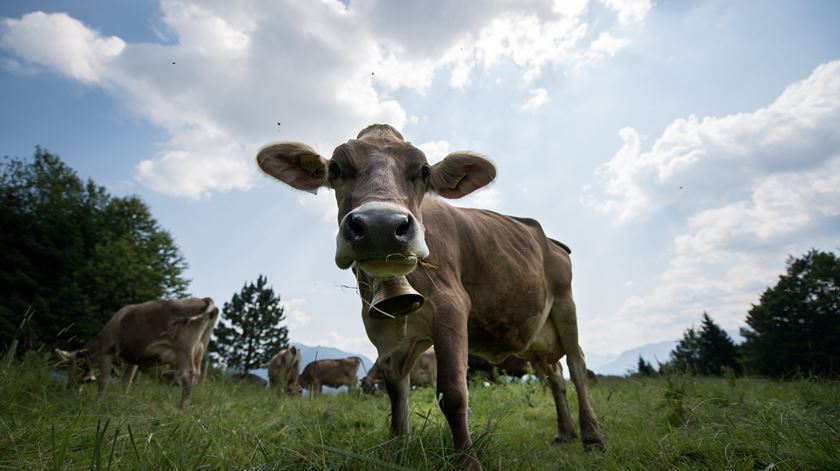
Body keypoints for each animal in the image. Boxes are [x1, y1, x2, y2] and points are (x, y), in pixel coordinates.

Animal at [55, 298, 217, 410]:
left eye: (70, 370)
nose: (69, 392)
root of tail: (204, 299)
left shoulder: (107, 353)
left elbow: (104, 380)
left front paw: (98, 403)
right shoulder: (134, 359)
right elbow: (127, 381)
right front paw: (123, 400)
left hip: (184, 349)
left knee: (187, 376)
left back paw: (182, 410)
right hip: (199, 350)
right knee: (195, 376)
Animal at [256, 124, 604, 468]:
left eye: (424, 171)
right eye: (335, 168)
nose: (381, 226)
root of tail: (551, 240)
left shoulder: (451, 308)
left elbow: (452, 393)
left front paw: (467, 462)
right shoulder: (382, 325)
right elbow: (396, 391)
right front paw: (398, 447)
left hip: (565, 305)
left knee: (576, 366)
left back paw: (592, 436)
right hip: (535, 335)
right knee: (555, 376)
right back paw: (564, 433)